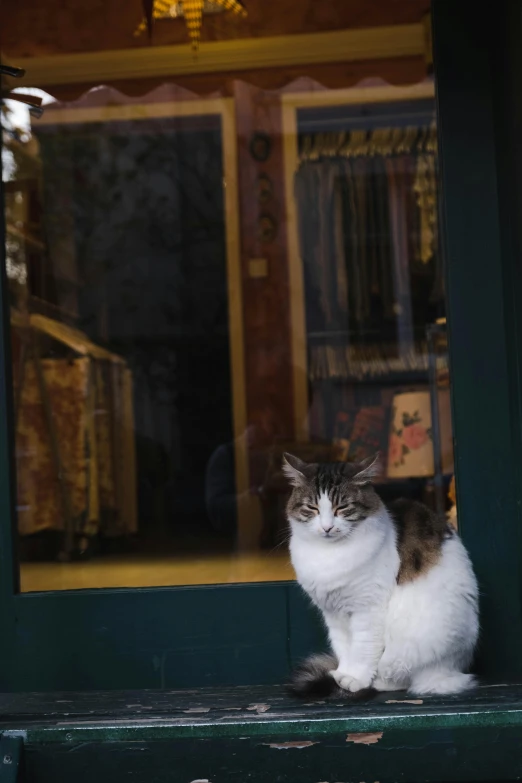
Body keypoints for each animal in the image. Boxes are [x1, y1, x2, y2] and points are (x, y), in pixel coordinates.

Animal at [282, 454, 478, 700]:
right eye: (312, 508)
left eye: (342, 507)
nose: (327, 528)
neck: (329, 554)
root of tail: (452, 669)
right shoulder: (334, 613)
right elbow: (344, 647)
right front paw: (342, 673)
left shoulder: (368, 608)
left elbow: (362, 648)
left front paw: (354, 679)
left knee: (404, 677)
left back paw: (377, 683)